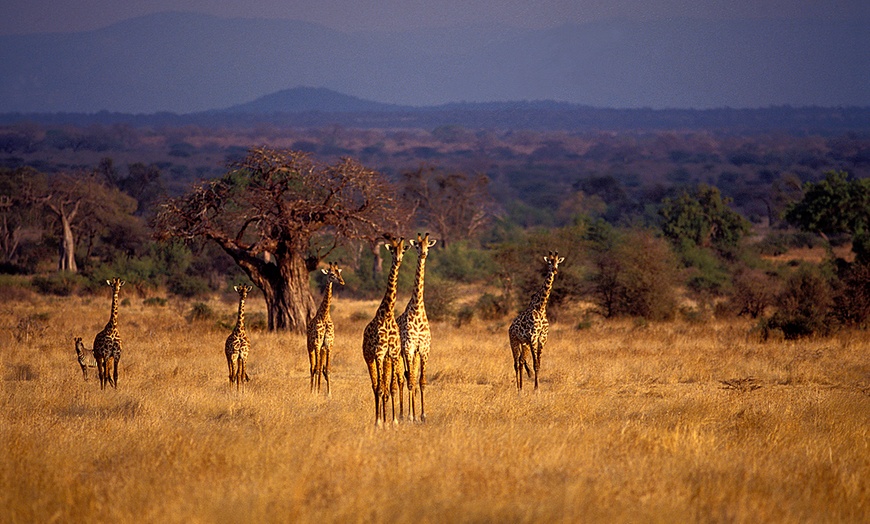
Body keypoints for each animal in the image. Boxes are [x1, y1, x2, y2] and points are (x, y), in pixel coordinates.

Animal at [308, 264, 346, 396]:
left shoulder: (328, 344)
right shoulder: (317, 343)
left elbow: (327, 369)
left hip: (322, 349)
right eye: (331, 274)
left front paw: (329, 393)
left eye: (339, 273)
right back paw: (312, 390)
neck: (324, 315)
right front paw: (315, 392)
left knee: (319, 367)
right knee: (312, 367)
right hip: (310, 346)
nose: (342, 282)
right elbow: (317, 368)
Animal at [364, 236, 412, 426]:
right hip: (369, 357)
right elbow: (380, 387)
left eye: (403, 250)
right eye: (392, 250)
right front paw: (380, 422)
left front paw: (393, 421)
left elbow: (390, 387)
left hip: (385, 359)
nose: (398, 259)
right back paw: (378, 419)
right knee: (375, 385)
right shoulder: (378, 353)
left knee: (383, 386)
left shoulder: (392, 353)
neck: (388, 313)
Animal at [510, 252, 564, 390]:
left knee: (521, 361)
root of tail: (510, 328)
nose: (555, 270)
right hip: (514, 341)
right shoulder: (533, 337)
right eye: (549, 262)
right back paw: (518, 388)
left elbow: (538, 364)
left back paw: (521, 388)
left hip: (524, 344)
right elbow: (535, 364)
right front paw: (536, 389)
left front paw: (537, 388)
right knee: (515, 363)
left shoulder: (542, 338)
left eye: (557, 262)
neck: (541, 307)